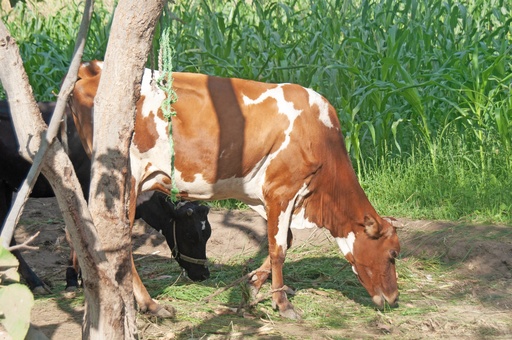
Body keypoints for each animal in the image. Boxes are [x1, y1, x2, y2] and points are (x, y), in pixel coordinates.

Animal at [0, 100, 211, 292]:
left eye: (208, 233)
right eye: (190, 236)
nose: (204, 274)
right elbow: (75, 234)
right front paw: (74, 279)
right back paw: (36, 283)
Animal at [70, 60, 402, 318]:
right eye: (393, 254)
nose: (394, 298)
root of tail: (92, 69)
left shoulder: (270, 196)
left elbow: (286, 240)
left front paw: (253, 284)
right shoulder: (281, 191)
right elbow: (279, 248)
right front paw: (282, 303)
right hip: (126, 181)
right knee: (120, 241)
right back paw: (151, 304)